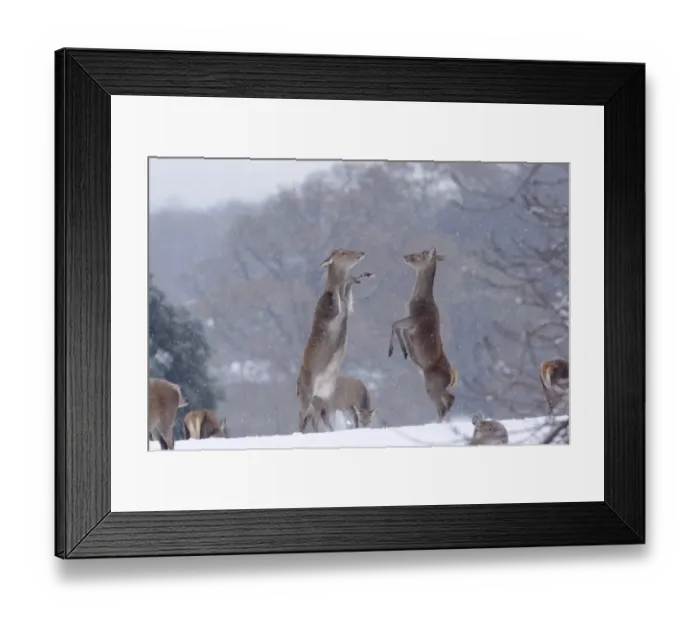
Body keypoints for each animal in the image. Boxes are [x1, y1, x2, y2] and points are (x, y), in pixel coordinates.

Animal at [296, 248, 373, 434]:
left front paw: (363, 275)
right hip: (307, 391)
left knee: (317, 417)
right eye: (343, 253)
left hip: (323, 396)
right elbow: (338, 295)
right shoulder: (330, 311)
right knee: (303, 416)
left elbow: (348, 295)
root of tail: (297, 383)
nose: (361, 252)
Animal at [388, 247, 457, 423]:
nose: (406, 256)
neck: (417, 300)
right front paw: (405, 351)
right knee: (446, 402)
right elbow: (398, 328)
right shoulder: (409, 322)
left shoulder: (414, 319)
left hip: (432, 383)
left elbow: (394, 324)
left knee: (445, 403)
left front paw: (393, 351)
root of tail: (452, 376)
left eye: (420, 255)